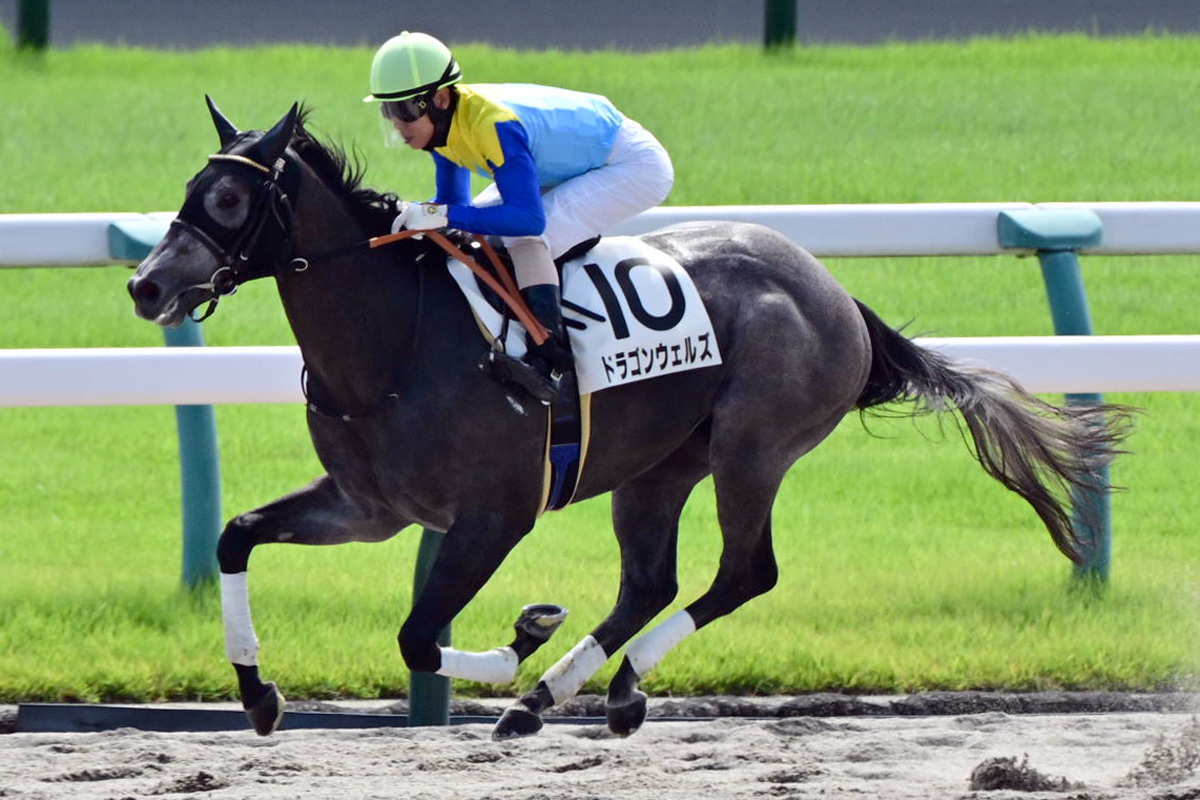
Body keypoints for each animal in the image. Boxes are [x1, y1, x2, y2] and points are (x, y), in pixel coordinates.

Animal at [128, 99, 1131, 740]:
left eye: (228, 198)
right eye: (186, 187)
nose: (146, 285)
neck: (395, 342)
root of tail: (836, 292)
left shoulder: (493, 515)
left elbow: (420, 637)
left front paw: (524, 634)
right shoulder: (370, 507)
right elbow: (236, 535)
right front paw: (257, 693)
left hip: (753, 449)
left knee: (743, 573)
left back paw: (589, 692)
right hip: (658, 466)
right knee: (651, 582)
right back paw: (556, 697)